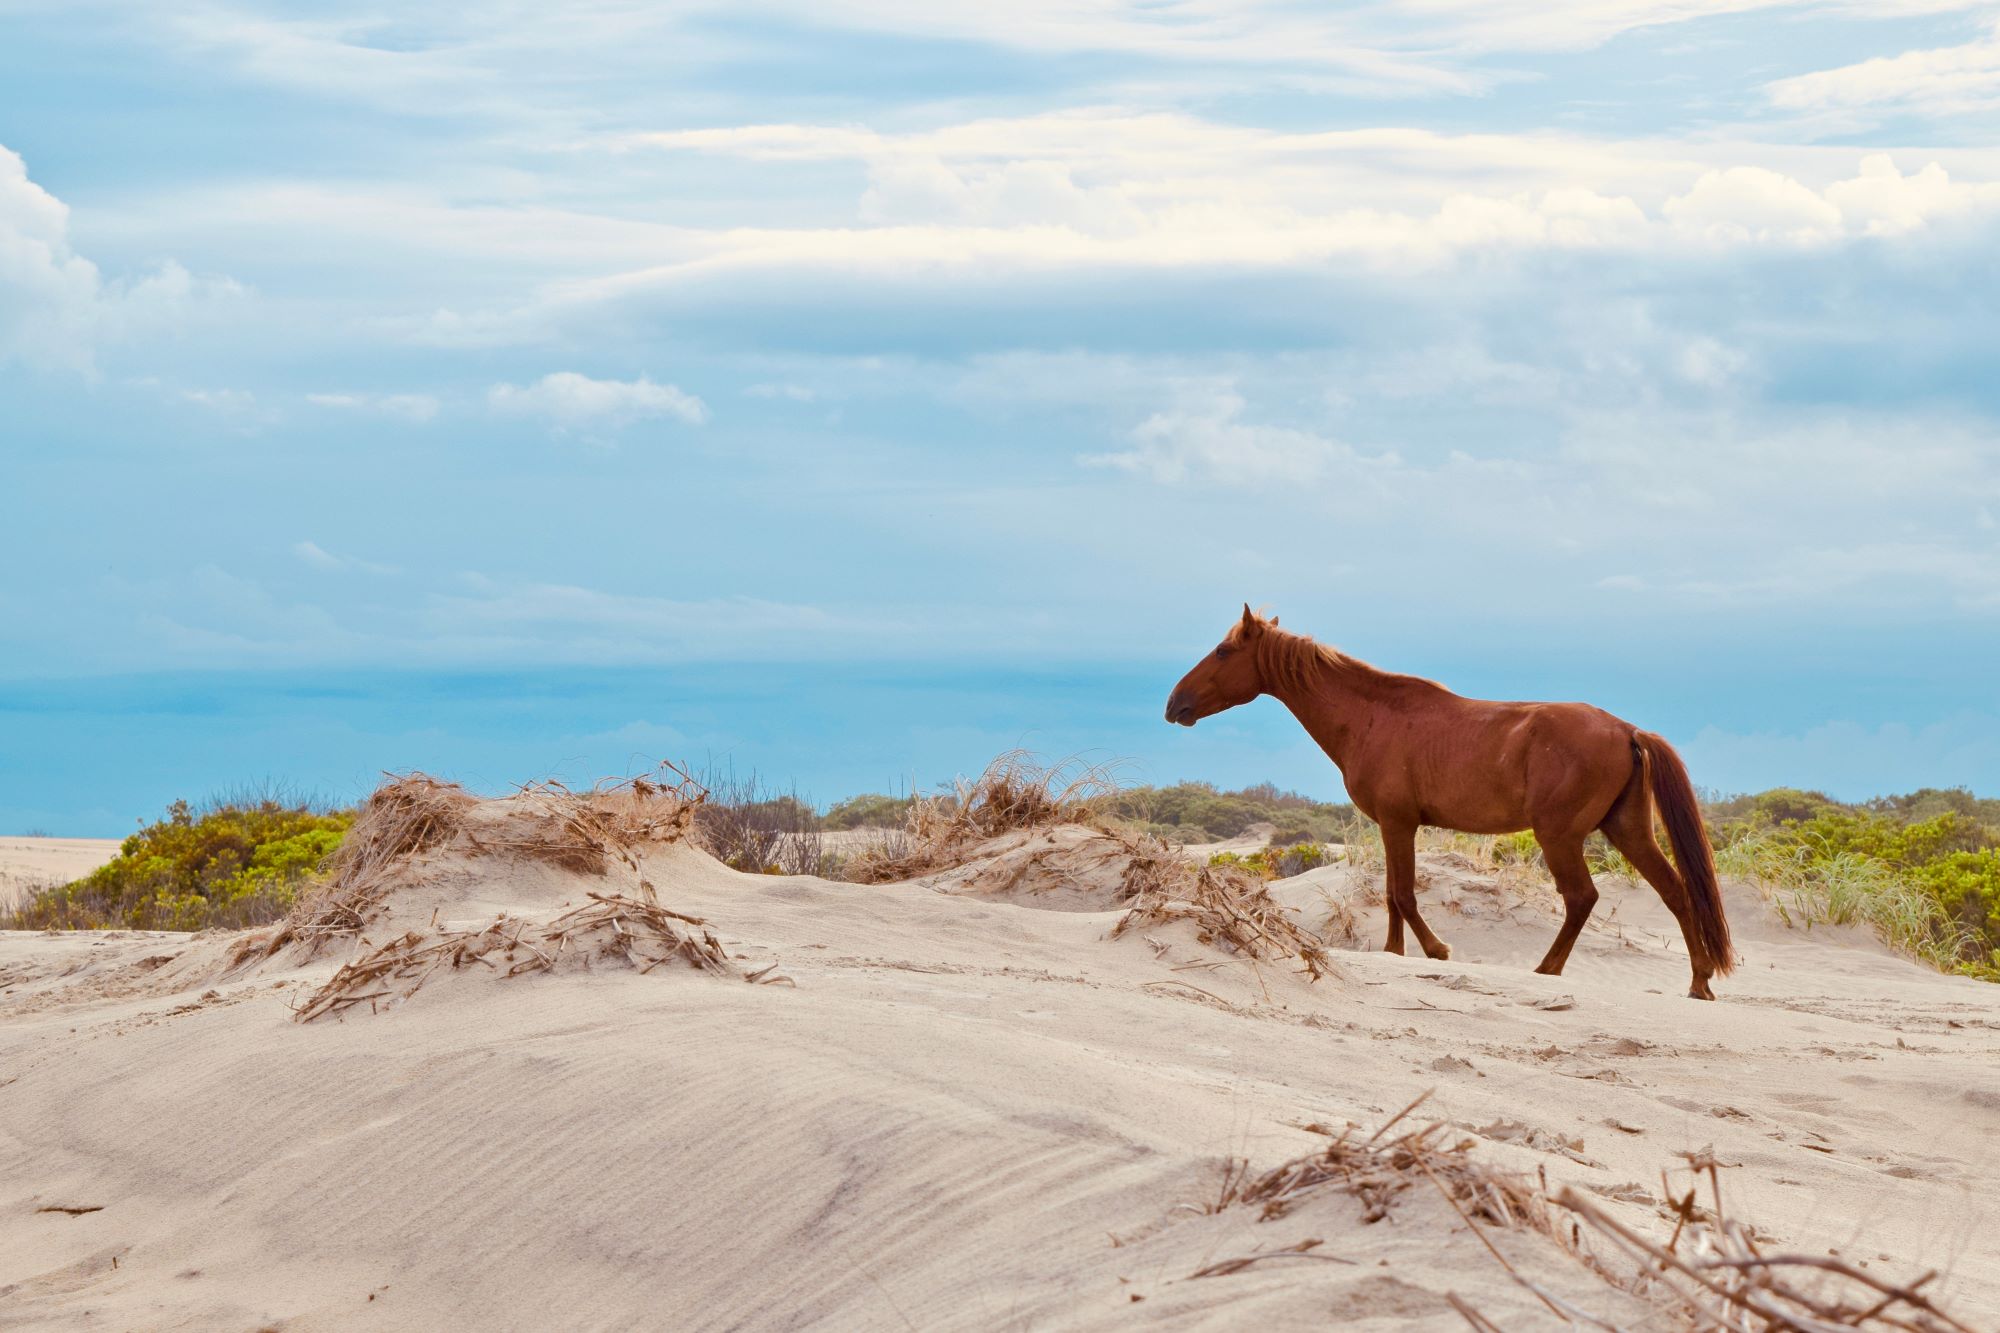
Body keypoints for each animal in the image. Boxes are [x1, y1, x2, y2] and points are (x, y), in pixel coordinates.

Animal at [1165, 606, 1732, 999]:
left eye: (1222, 652)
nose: (1174, 705)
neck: (1372, 716)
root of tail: (1626, 729)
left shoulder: (1398, 824)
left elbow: (1404, 894)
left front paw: (1436, 950)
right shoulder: (1393, 826)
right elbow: (1392, 894)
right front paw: (1395, 952)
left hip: (1560, 837)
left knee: (1581, 899)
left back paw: (1548, 969)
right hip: (1627, 830)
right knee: (1676, 893)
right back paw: (1699, 981)